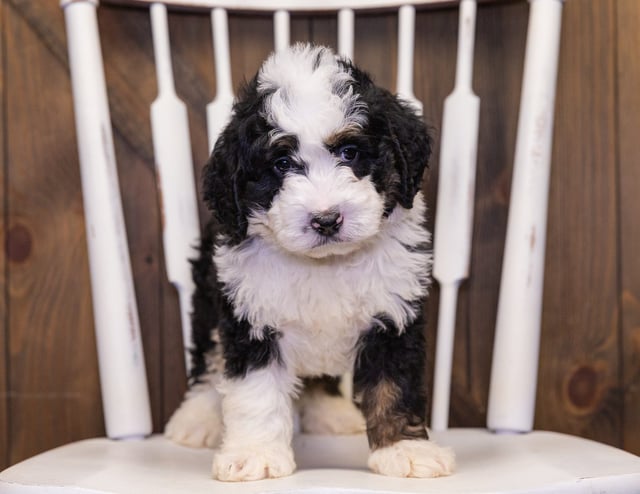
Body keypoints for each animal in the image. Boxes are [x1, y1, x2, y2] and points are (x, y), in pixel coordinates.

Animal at [165, 43, 456, 482]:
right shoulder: (249, 318)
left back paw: (331, 412)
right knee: (207, 359)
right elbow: (255, 391)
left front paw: (404, 450)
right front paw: (255, 454)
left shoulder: (394, 314)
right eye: (281, 164)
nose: (326, 219)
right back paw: (196, 418)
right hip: (206, 297)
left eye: (350, 152)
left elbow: (393, 385)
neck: (324, 264)